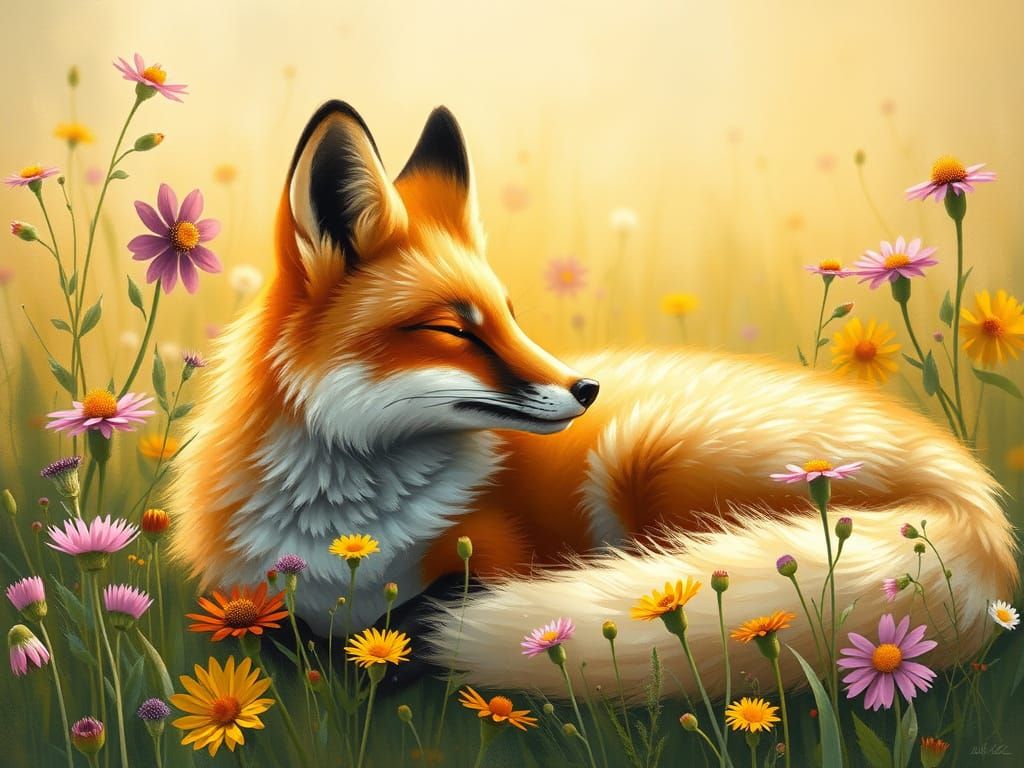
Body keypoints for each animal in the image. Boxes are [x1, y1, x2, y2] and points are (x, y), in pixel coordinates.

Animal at [169, 100, 1018, 700]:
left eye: (510, 316)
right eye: (455, 330)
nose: (586, 389)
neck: (341, 529)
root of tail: (974, 496)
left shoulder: (495, 555)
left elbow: (409, 620)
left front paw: (381, 653)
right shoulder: (246, 594)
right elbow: (273, 630)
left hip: (652, 467)